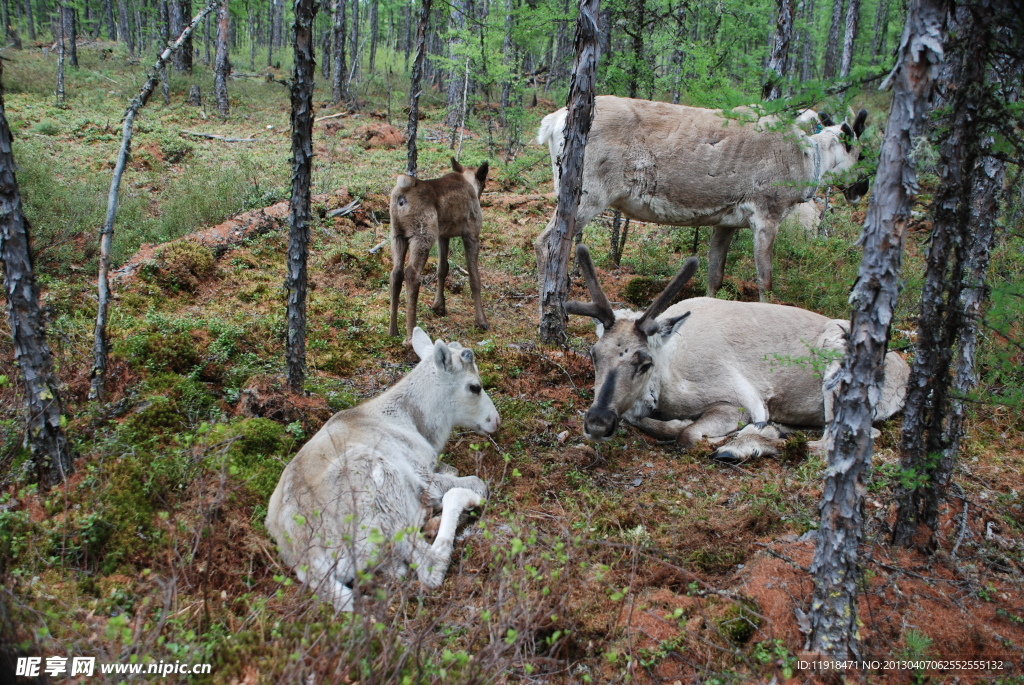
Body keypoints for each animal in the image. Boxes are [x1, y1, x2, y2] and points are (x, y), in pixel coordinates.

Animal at [389, 157, 489, 344]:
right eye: (485, 183)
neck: (468, 180)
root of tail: (403, 191)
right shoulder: (471, 234)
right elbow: (474, 278)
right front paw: (481, 321)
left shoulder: (443, 235)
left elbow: (442, 269)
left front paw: (439, 306)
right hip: (422, 235)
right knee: (412, 274)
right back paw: (410, 336)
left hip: (397, 235)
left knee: (396, 273)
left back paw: (393, 330)